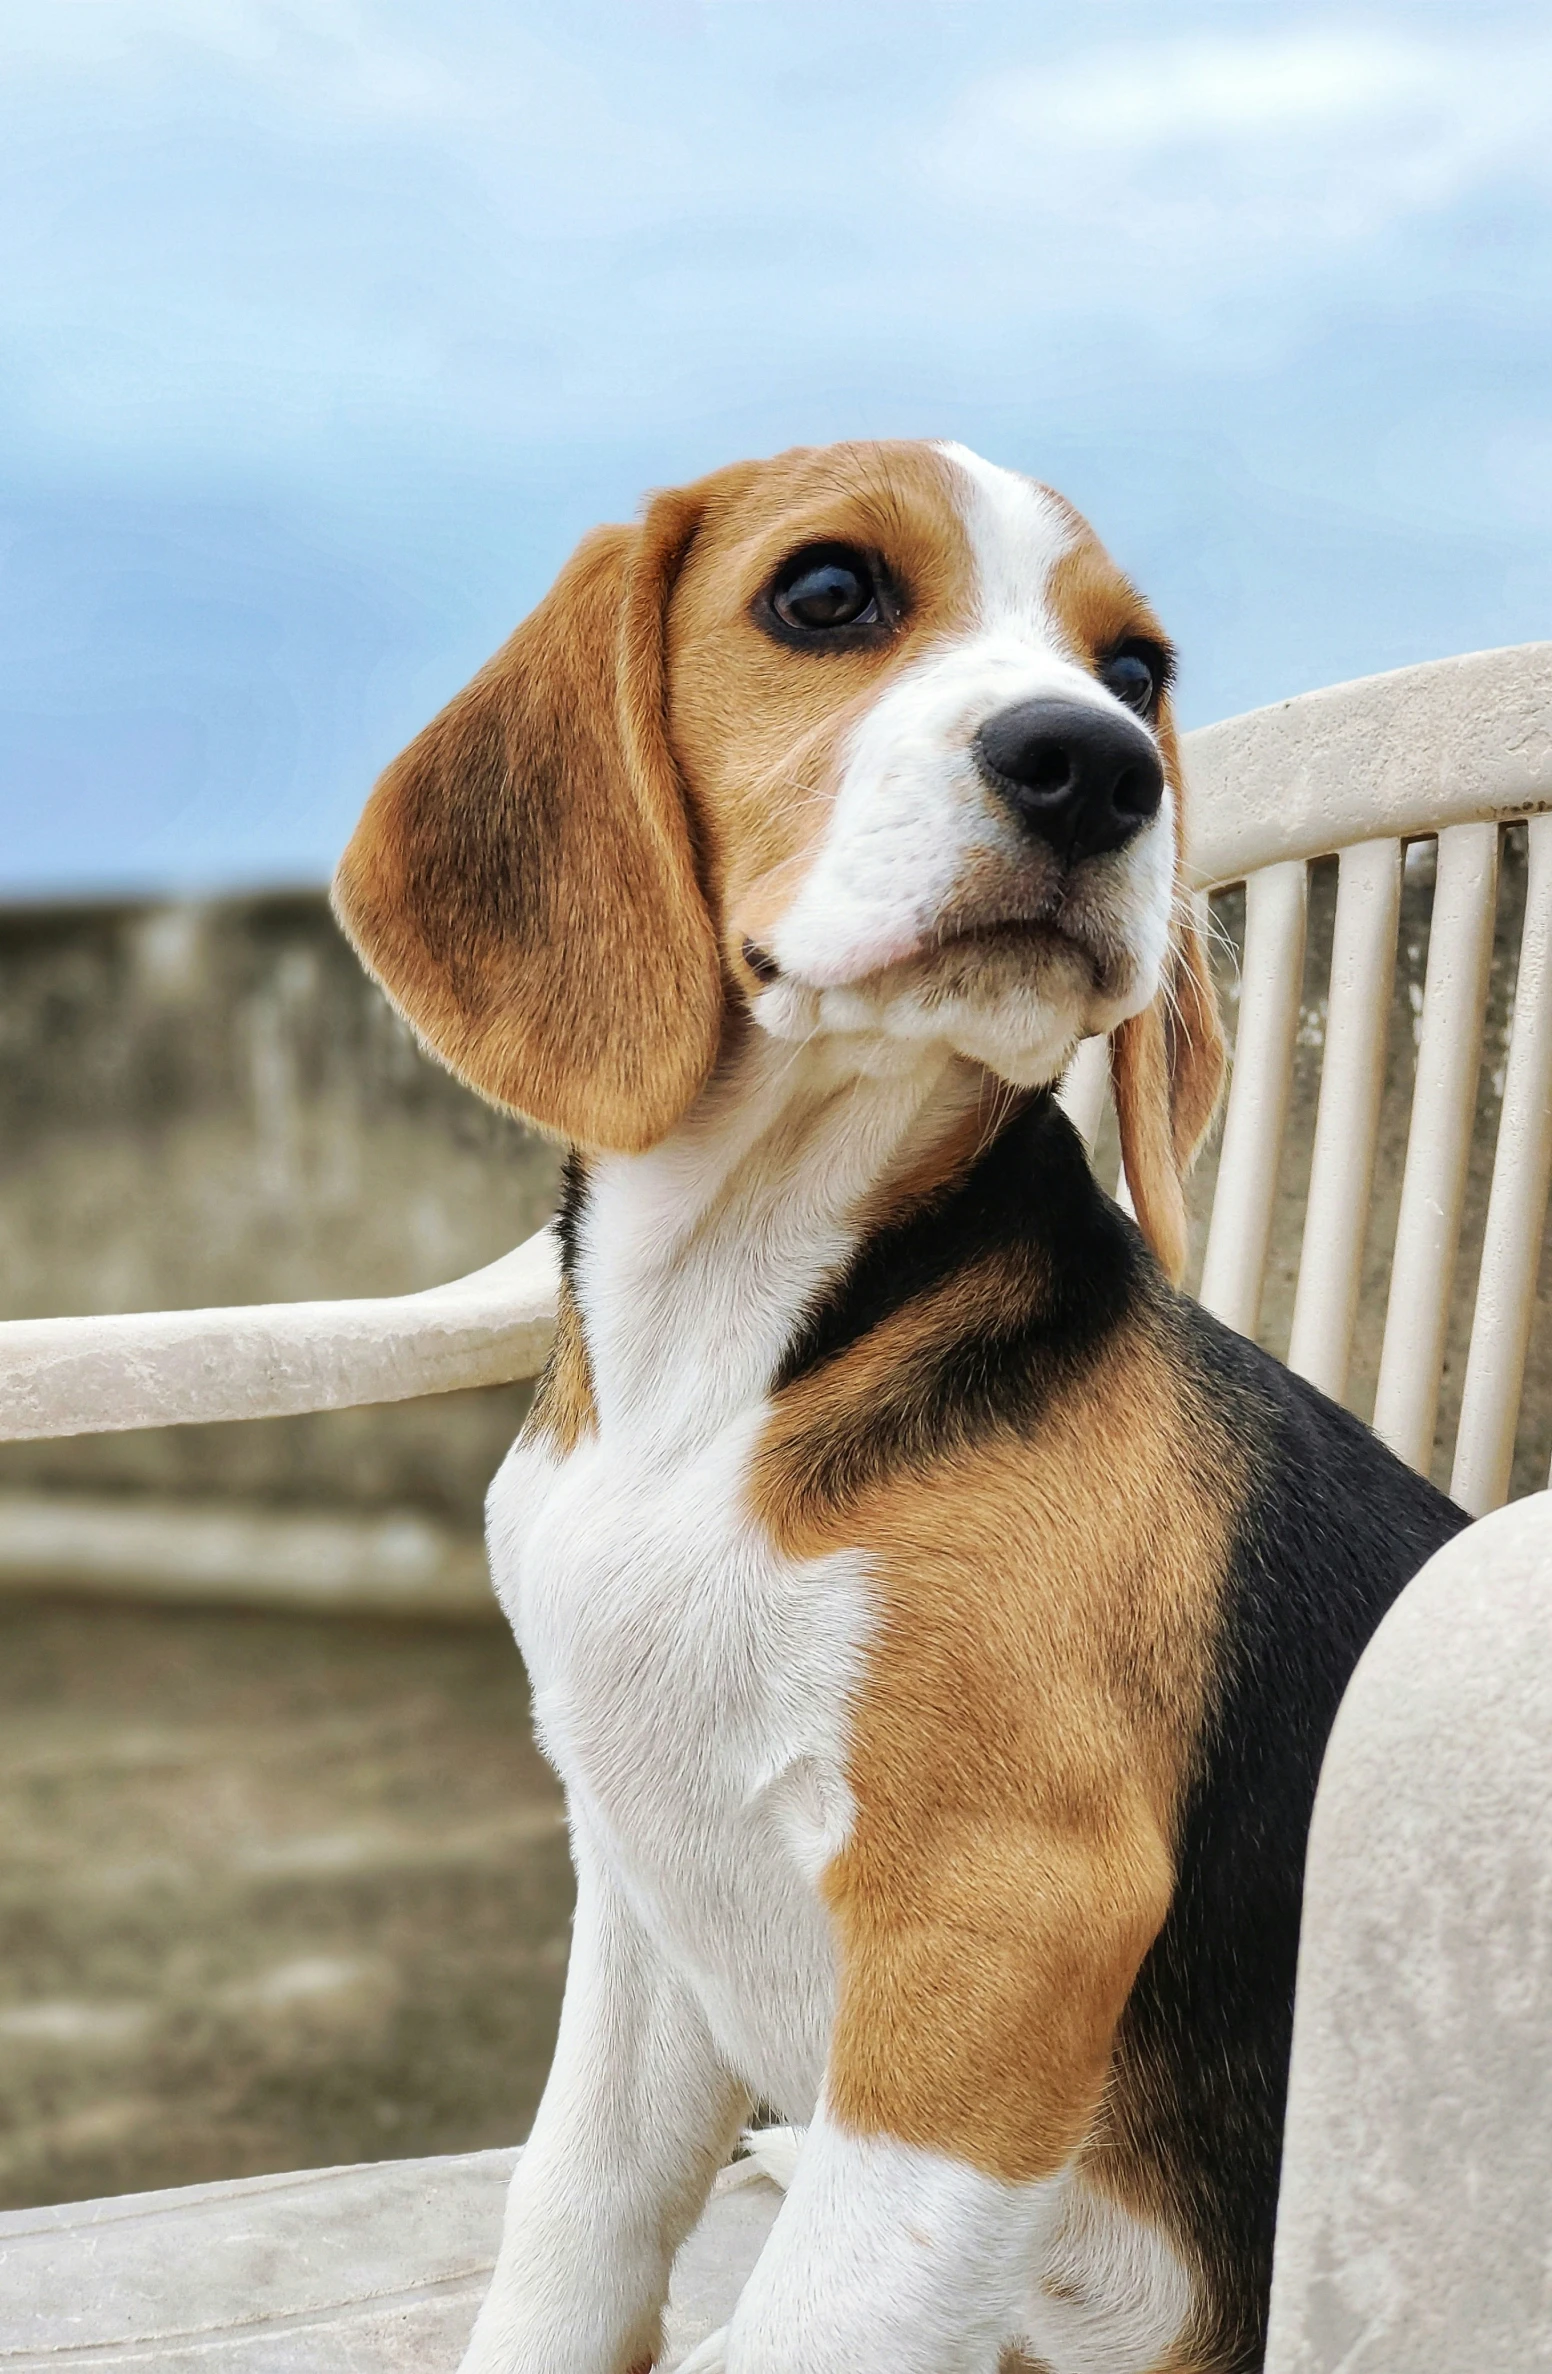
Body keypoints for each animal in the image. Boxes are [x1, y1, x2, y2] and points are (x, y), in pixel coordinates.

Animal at [336, 446, 1471, 2374]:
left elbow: (815, 2314)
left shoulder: (999, 1929)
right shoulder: (639, 1876)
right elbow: (572, 2211)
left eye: (1135, 670)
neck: (730, 1341)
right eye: (825, 594)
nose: (1098, 762)